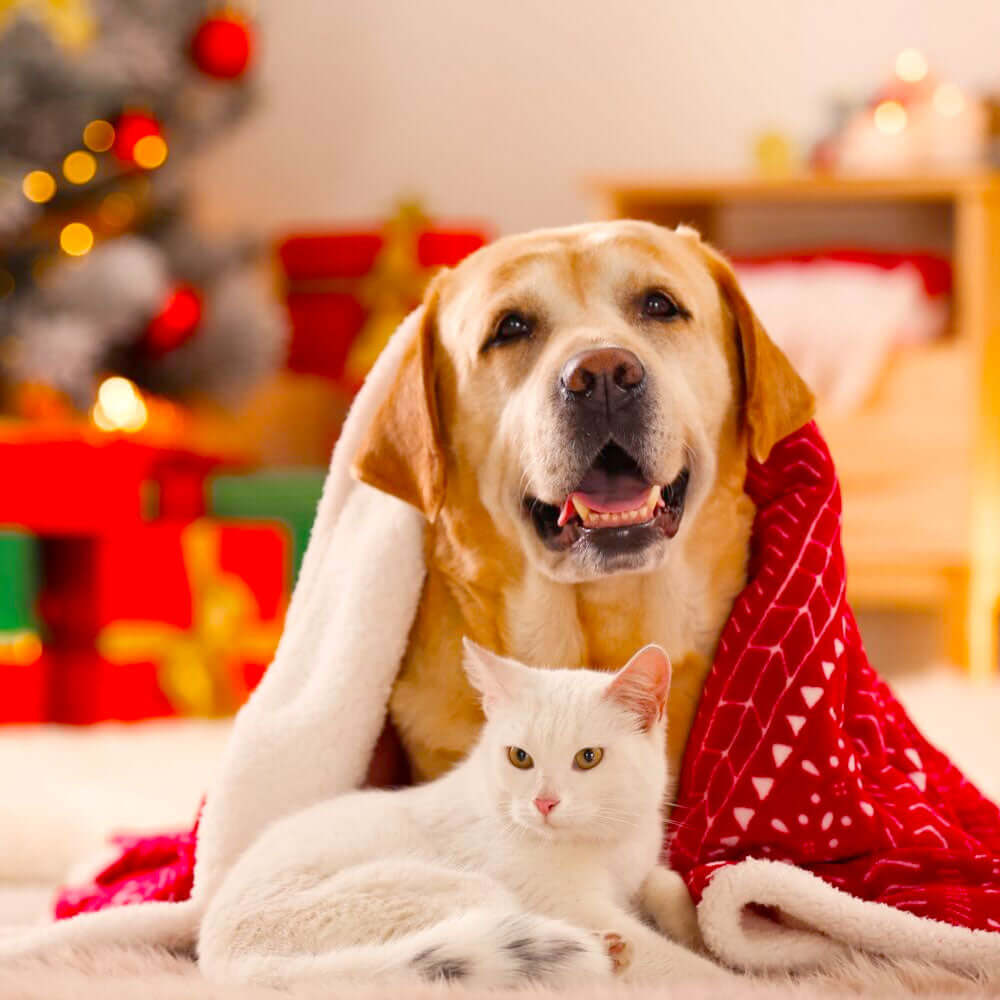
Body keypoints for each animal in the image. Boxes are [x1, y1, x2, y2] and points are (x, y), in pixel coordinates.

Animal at [197, 640, 728, 984]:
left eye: (589, 758)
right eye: (520, 757)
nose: (544, 802)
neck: (603, 842)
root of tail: (231, 969)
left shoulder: (639, 866)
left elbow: (665, 882)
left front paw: (697, 929)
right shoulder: (567, 902)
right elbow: (684, 968)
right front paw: (727, 975)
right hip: (455, 892)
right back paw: (606, 952)